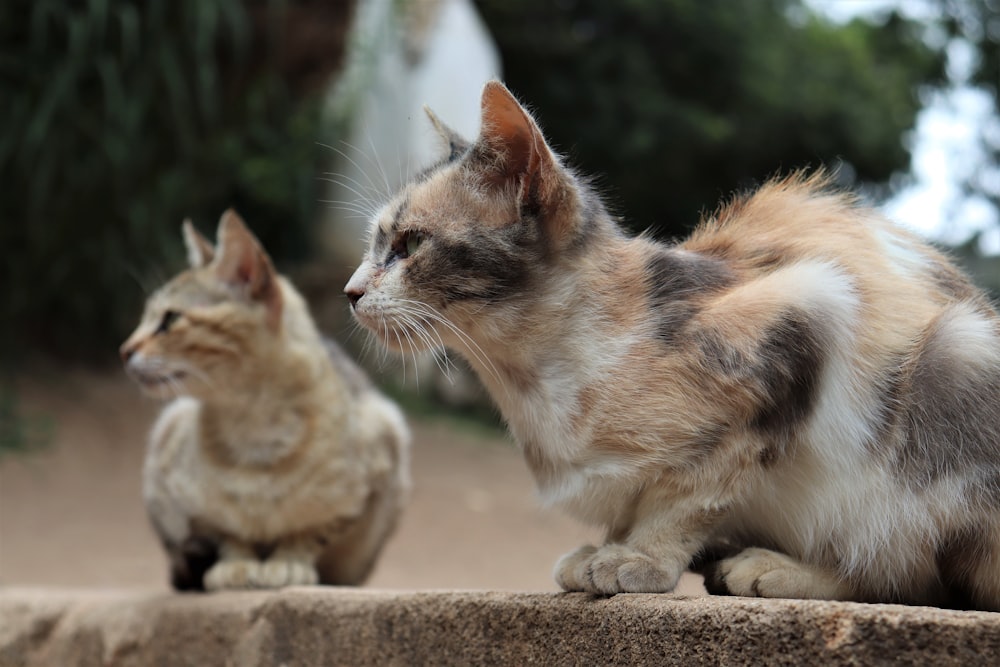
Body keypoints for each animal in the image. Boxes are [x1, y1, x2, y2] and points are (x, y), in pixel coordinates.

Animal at [122, 211, 410, 592]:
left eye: (170, 319)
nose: (124, 350)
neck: (252, 422)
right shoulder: (187, 499)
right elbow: (228, 534)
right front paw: (237, 565)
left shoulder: (377, 460)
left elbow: (311, 531)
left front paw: (288, 562)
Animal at [348, 79, 1000, 612]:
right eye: (375, 243)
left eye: (410, 244)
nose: (350, 291)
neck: (534, 386)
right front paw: (604, 549)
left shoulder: (809, 308)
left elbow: (693, 495)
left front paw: (640, 558)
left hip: (953, 360)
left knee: (917, 576)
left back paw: (776, 569)